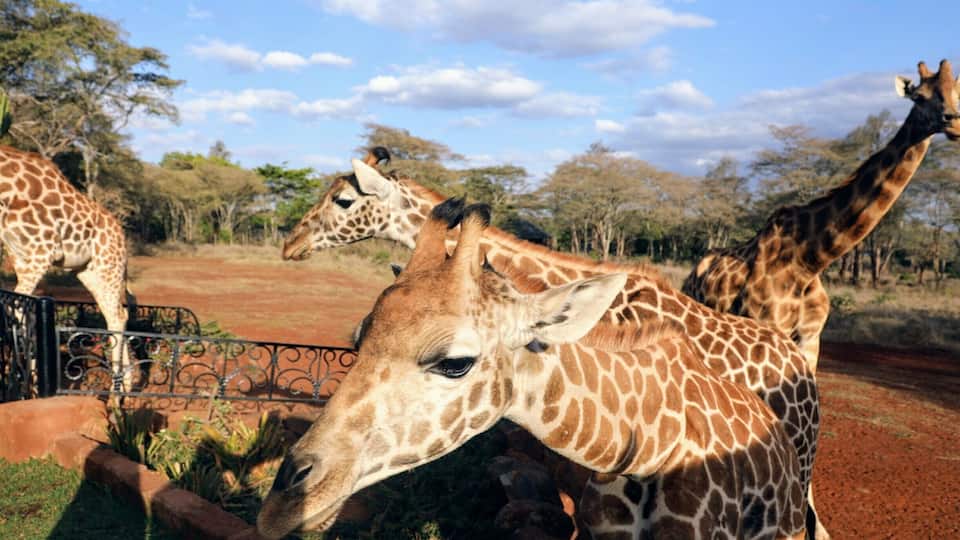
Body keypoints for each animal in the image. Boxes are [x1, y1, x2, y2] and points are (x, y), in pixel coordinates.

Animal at [0, 145, 132, 384]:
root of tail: (121, 234)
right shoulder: (18, 257)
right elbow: (21, 309)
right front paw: (28, 378)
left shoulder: (42, 253)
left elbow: (19, 307)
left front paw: (31, 379)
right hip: (90, 272)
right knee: (118, 314)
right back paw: (126, 384)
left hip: (109, 267)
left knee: (117, 316)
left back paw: (115, 392)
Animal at [682, 59, 960, 375]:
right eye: (919, 97)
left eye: (955, 95)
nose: (953, 123)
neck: (810, 260)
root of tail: (692, 272)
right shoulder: (766, 328)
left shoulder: (810, 338)